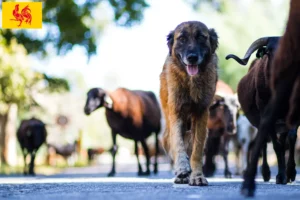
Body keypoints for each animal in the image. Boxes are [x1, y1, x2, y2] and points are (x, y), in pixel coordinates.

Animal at [159, 21, 218, 185]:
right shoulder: (176, 113)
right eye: (182, 39)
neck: (191, 82)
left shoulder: (201, 115)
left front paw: (197, 176)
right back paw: (181, 174)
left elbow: (196, 152)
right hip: (167, 133)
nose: (192, 58)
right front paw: (182, 168)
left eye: (201, 37)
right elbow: (178, 145)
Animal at [238, 0, 298, 197]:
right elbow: (277, 146)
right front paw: (281, 176)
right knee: (264, 143)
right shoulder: (266, 114)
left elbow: (291, 139)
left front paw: (291, 172)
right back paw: (265, 174)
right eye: (269, 50)